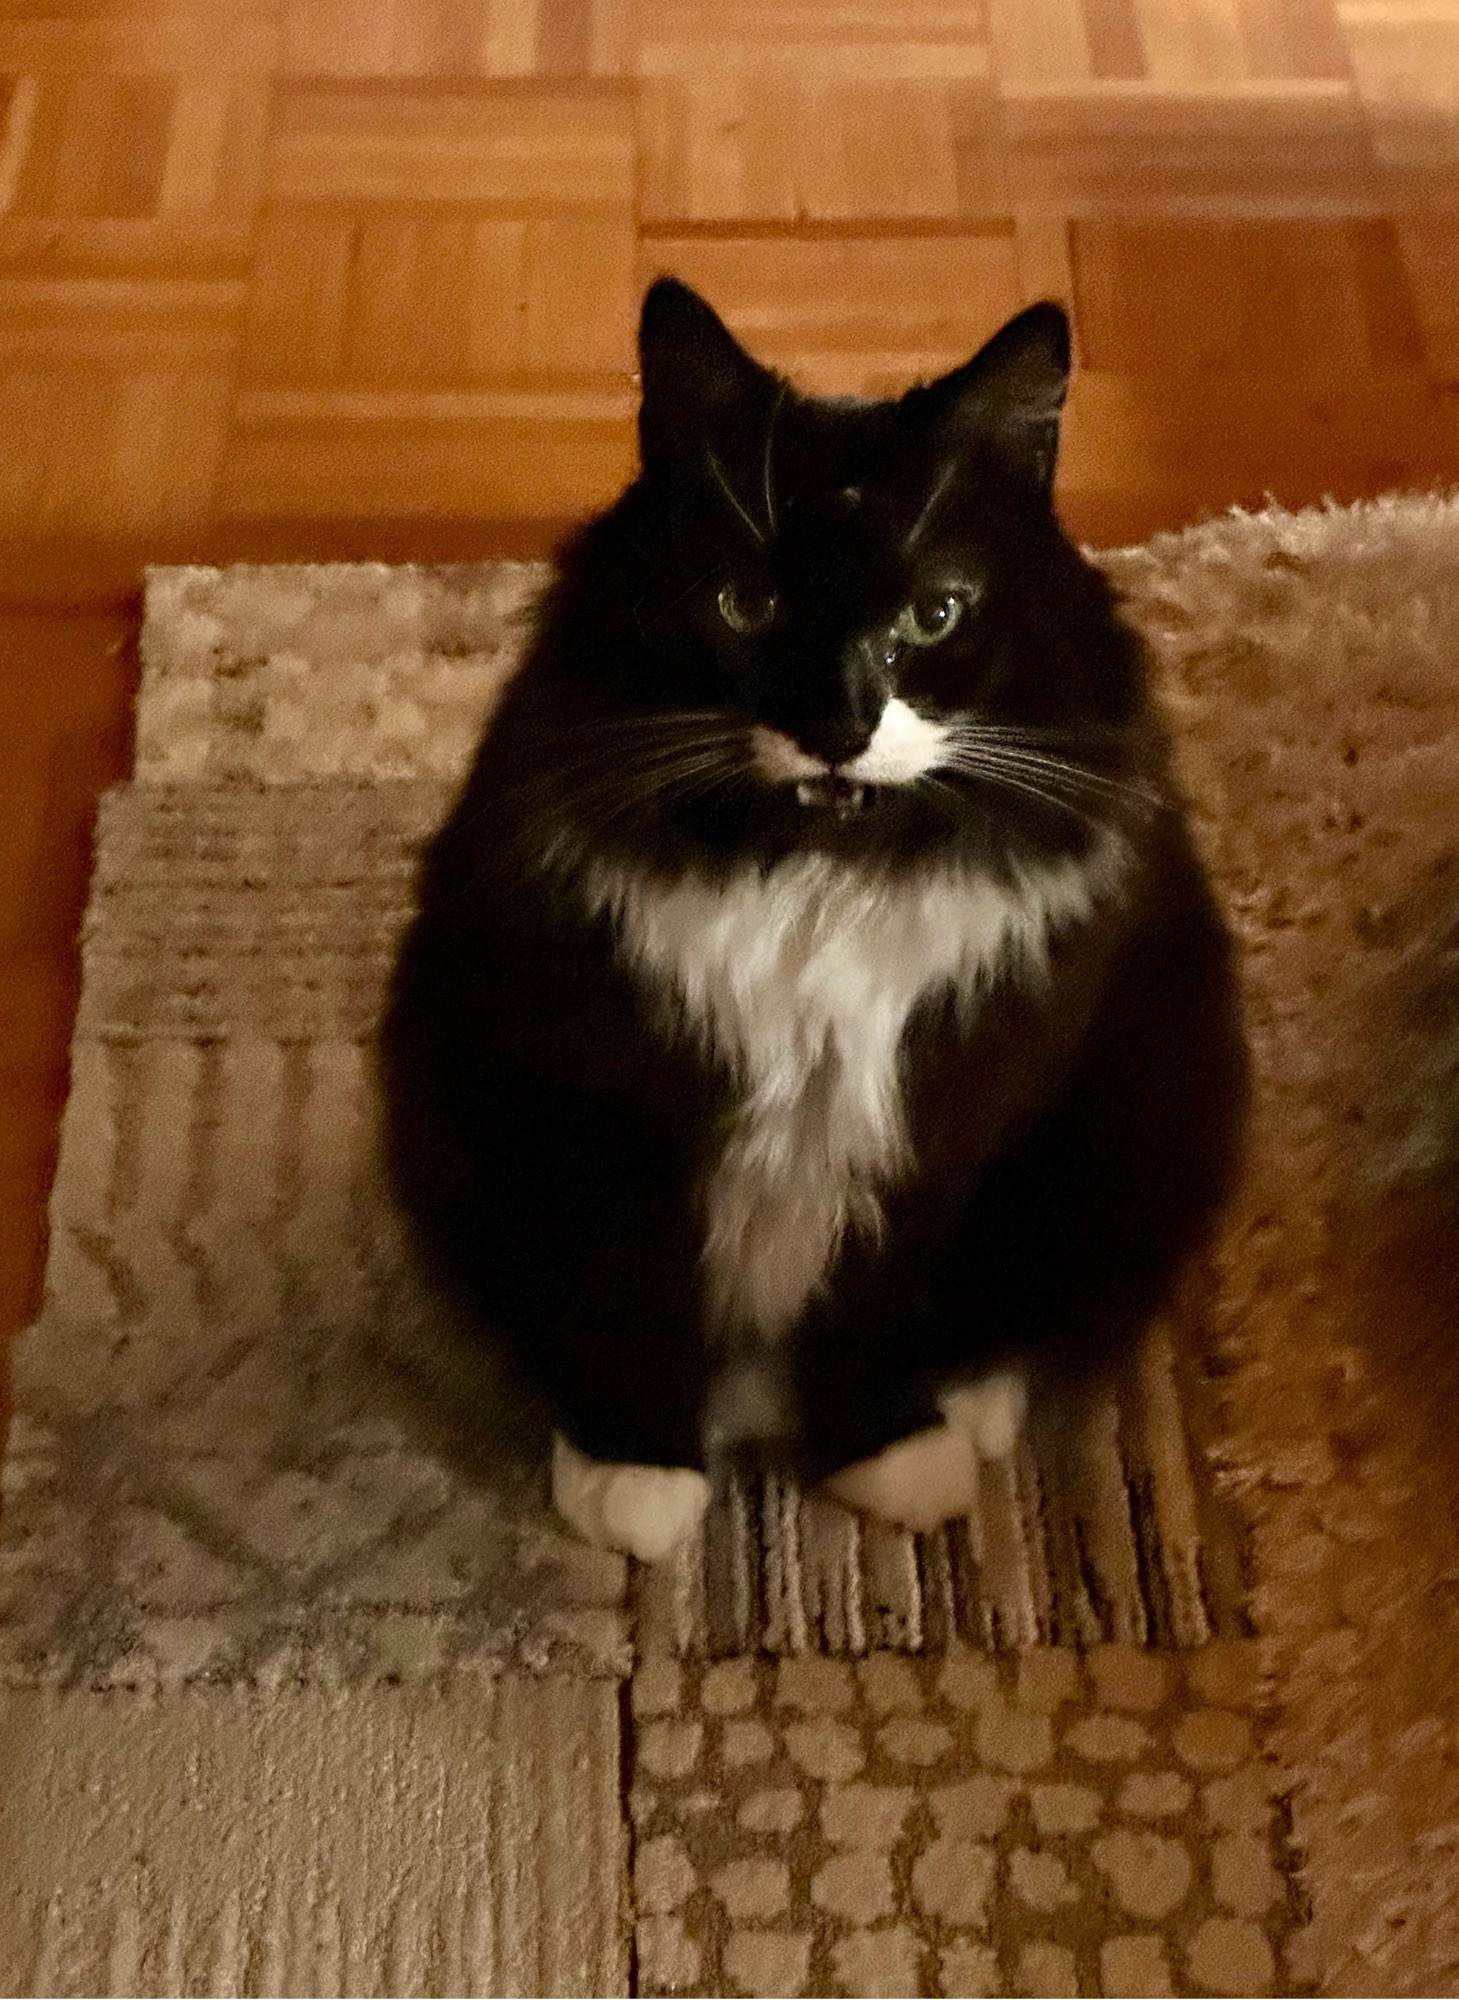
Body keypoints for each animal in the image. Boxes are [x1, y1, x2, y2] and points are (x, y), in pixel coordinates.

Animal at [375, 282, 1239, 1560]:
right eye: (748, 603)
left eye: (931, 614)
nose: (838, 722)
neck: (816, 870)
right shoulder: (607, 1103)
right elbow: (624, 1288)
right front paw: (637, 1474)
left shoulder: (935, 1122)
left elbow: (877, 1300)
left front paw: (884, 1451)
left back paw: (965, 1407)